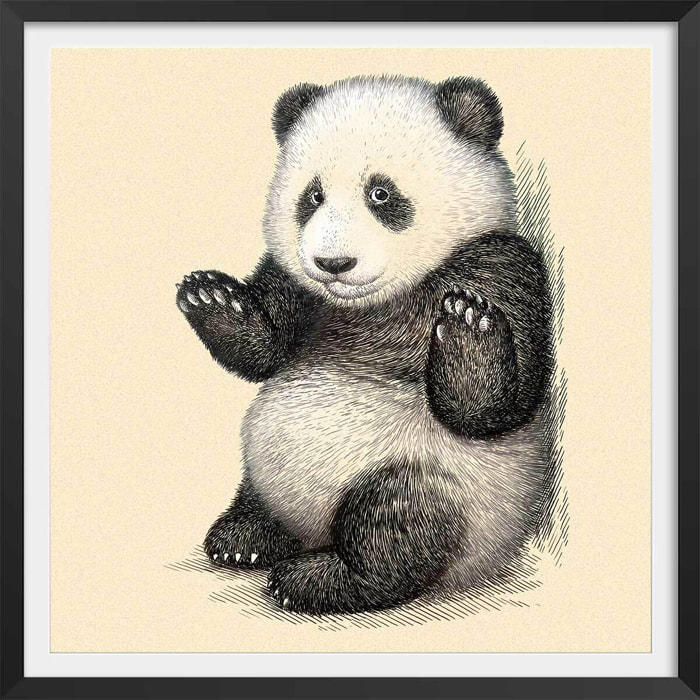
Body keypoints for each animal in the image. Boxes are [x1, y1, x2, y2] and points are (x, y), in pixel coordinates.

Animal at [176, 75, 554, 615]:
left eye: (380, 193)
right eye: (312, 196)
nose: (333, 263)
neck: (373, 304)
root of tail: (314, 530)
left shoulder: (497, 263)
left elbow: (497, 408)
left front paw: (469, 330)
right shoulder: (303, 289)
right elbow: (264, 349)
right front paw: (211, 297)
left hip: (443, 478)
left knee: (396, 523)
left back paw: (316, 578)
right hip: (265, 465)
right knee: (261, 492)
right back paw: (246, 535)